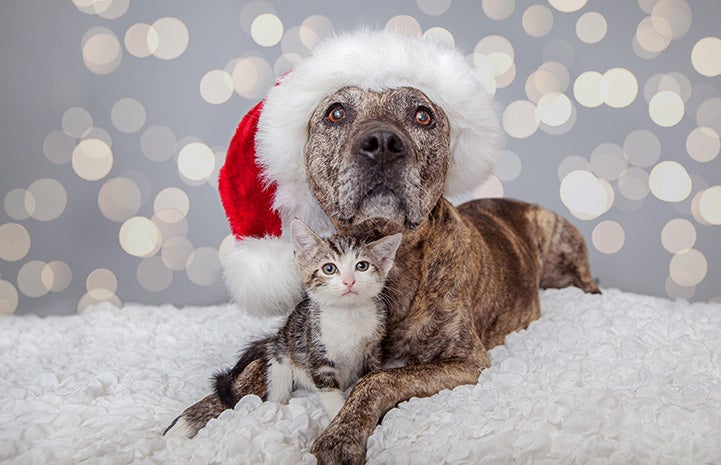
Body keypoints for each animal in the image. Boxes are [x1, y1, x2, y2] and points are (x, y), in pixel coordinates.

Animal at [264, 218, 402, 416]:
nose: (349, 281)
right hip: (282, 347)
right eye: (329, 268)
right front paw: (338, 414)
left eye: (362, 266)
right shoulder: (317, 350)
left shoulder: (373, 348)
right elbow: (329, 391)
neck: (348, 314)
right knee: (278, 371)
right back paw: (277, 403)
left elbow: (369, 377)